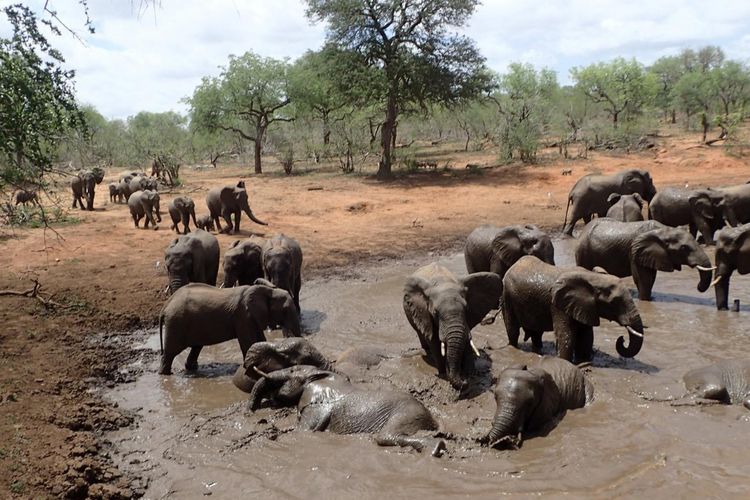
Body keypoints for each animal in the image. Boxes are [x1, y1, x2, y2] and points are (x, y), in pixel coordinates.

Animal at [157, 282, 302, 376]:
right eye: (285, 310)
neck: (268, 290)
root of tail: (165, 306)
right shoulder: (243, 316)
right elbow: (248, 342)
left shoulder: (251, 317)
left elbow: (259, 340)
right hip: (176, 323)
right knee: (170, 353)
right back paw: (165, 374)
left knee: (196, 347)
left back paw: (191, 369)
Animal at [247, 364, 446, 458]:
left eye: (292, 370)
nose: (250, 413)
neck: (319, 376)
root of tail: (432, 419)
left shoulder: (316, 405)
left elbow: (304, 431)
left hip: (407, 413)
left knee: (385, 436)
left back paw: (436, 448)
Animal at [402, 262, 502, 390]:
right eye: (435, 313)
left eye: (467, 309)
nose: (464, 380)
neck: (442, 281)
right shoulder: (425, 314)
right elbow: (434, 341)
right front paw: (443, 373)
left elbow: (466, 340)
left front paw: (470, 373)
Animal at [506, 258, 648, 364]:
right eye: (614, 302)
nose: (622, 339)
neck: (593, 278)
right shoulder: (558, 305)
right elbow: (566, 335)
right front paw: (565, 362)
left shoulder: (585, 307)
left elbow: (586, 336)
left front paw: (583, 360)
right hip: (506, 294)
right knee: (513, 329)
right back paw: (513, 347)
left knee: (536, 333)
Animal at [576, 220, 716, 300]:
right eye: (683, 248)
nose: (698, 287)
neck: (664, 230)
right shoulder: (635, 251)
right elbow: (643, 279)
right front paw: (645, 301)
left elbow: (651, 277)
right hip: (583, 252)